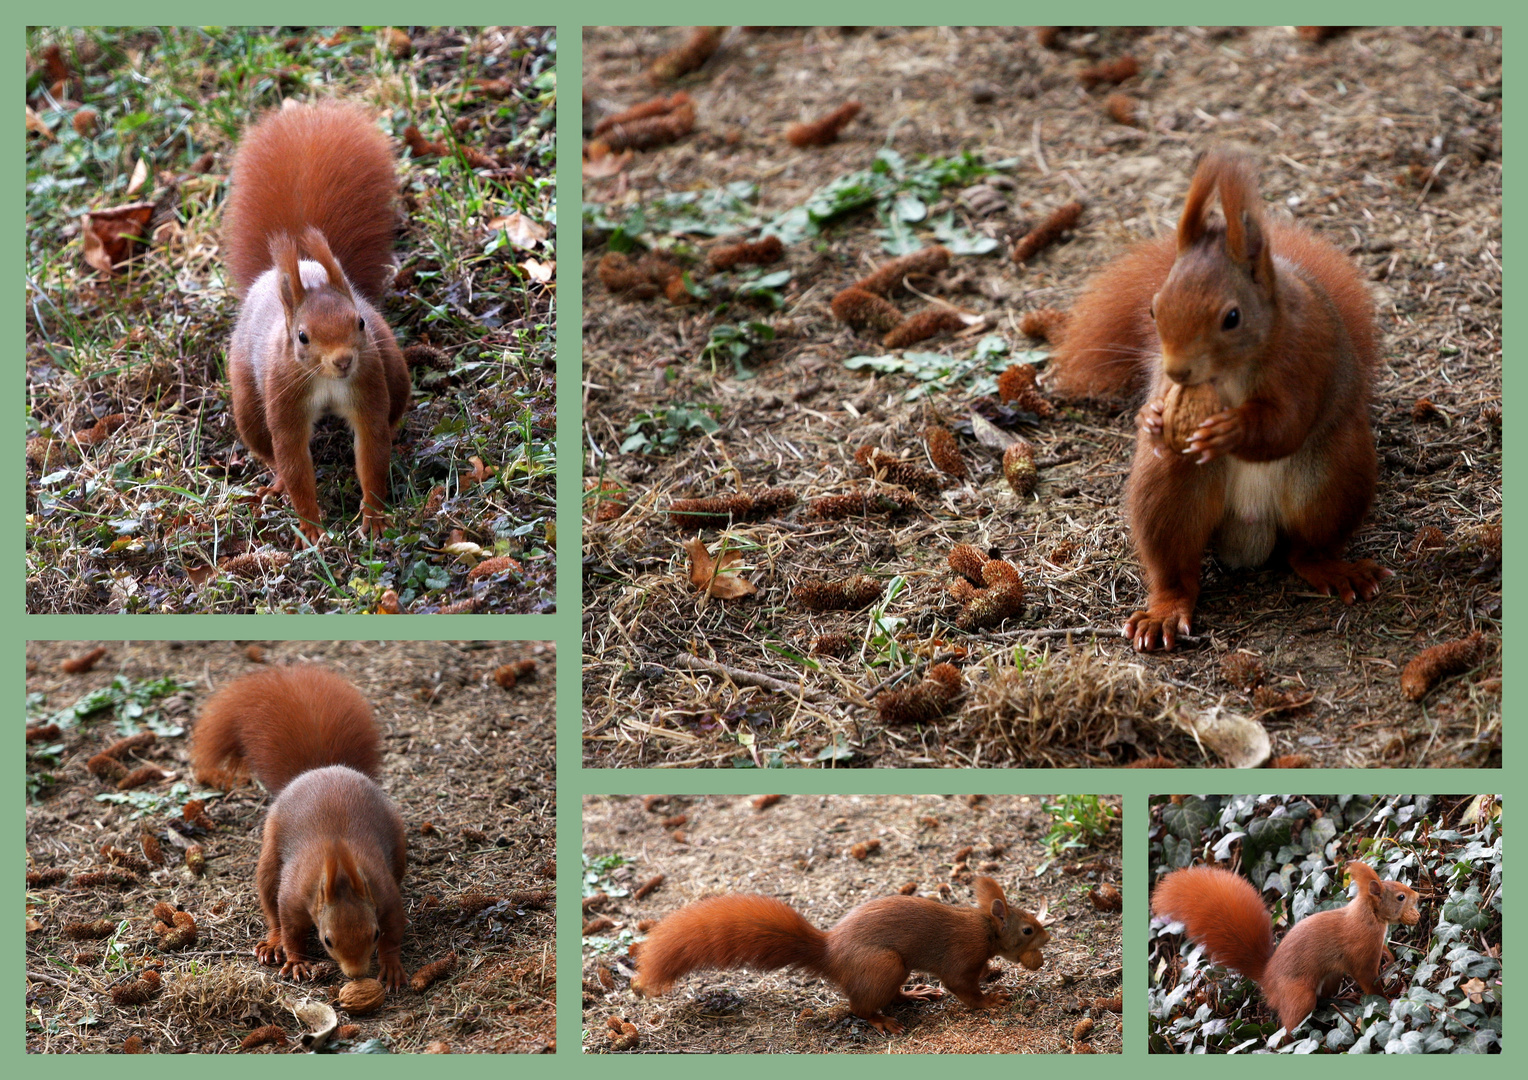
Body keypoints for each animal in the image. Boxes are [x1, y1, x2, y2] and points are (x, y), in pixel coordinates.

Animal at [189, 666, 406, 989]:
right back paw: (272, 944)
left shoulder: (384, 893)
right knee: (272, 910)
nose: (356, 974)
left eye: (373, 934)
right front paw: (296, 961)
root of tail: (318, 769)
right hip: (270, 858)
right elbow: (290, 928)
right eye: (327, 940)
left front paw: (390, 965)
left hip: (397, 841)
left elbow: (394, 930)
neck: (339, 870)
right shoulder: (293, 896)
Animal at [221, 101, 412, 543]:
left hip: (392, 367)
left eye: (359, 323)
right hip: (248, 401)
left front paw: (374, 518)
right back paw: (273, 483)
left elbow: (371, 448)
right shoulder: (284, 397)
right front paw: (311, 529)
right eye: (303, 337)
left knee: (394, 408)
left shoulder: (367, 383)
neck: (325, 380)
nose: (343, 361)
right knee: (268, 450)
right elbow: (293, 459)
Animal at [626, 873, 1045, 1032]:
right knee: (859, 1007)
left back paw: (913, 994)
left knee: (885, 996)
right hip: (884, 965)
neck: (986, 930)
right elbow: (964, 988)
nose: (1046, 941)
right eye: (1027, 929)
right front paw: (991, 1000)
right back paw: (883, 1021)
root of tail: (831, 955)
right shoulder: (961, 958)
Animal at [1051, 151, 1387, 650]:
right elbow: (1159, 398)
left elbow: (1286, 425)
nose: (1179, 372)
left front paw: (1233, 429)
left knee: (1306, 550)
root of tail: (1250, 529)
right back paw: (1164, 613)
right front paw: (1152, 416)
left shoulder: (1307, 357)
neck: (1227, 373)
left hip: (1334, 478)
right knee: (1176, 569)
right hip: (1169, 490)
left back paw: (1335, 570)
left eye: (1232, 317)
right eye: (1153, 309)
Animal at [1155, 855, 1417, 1032]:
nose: (1417, 895)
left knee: (1325, 998)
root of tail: (1267, 978)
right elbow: (1369, 981)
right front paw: (1387, 999)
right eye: (1400, 897)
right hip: (1298, 996)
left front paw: (1390, 957)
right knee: (1291, 1025)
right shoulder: (1361, 952)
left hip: (1331, 978)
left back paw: (1345, 1000)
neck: (1367, 917)